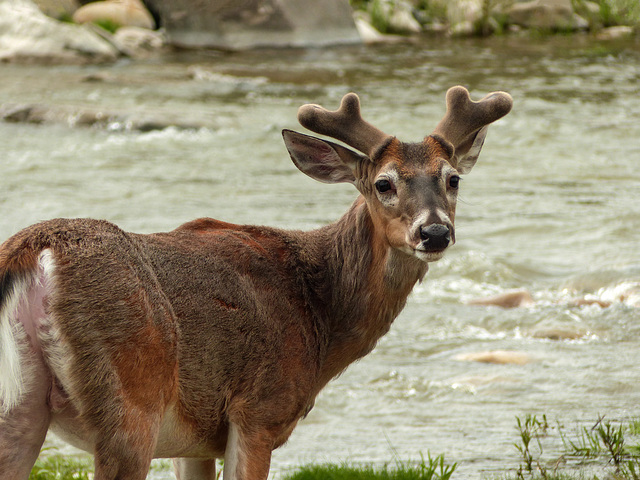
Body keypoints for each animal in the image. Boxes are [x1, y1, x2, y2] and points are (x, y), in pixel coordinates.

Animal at [0, 87, 510, 480]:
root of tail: (35, 248)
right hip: (130, 398)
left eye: (452, 178)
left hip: (20, 411)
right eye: (384, 183)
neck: (321, 318)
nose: (435, 232)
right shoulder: (258, 412)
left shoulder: (195, 441)